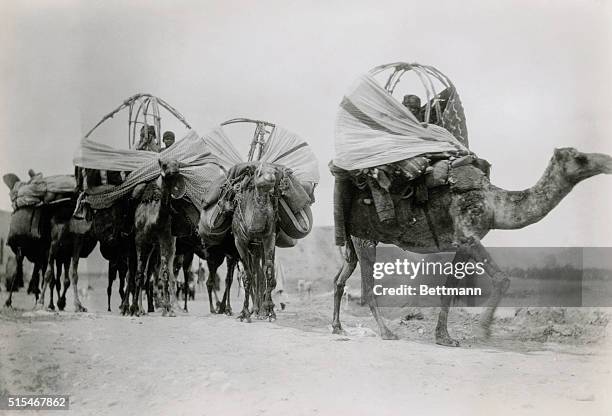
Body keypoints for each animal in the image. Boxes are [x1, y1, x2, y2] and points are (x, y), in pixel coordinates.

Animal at [330, 148, 612, 346]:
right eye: (580, 157)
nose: (608, 161)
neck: (494, 203)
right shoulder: (469, 235)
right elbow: (502, 279)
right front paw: (483, 329)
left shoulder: (462, 244)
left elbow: (449, 289)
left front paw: (444, 338)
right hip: (364, 236)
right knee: (368, 286)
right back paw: (387, 333)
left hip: (352, 240)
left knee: (340, 278)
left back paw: (337, 327)